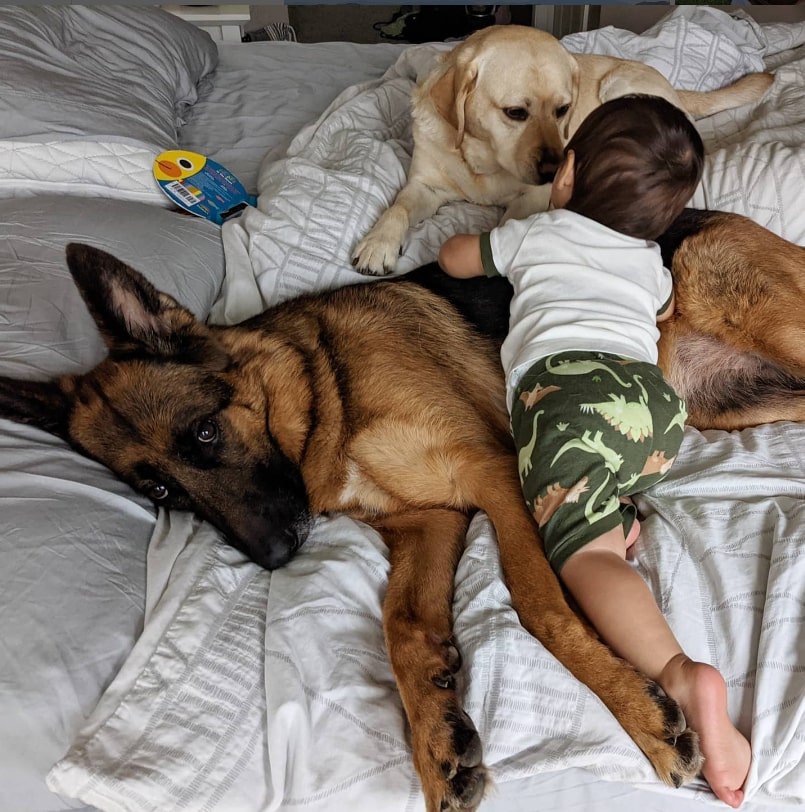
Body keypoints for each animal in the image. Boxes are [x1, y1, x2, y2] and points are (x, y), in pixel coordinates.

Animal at [354, 24, 772, 276]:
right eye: (515, 112)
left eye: (563, 109)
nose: (554, 170)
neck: (483, 162)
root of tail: (672, 87)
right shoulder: (426, 185)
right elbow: (398, 207)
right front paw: (378, 244)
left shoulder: (533, 197)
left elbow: (507, 223)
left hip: (620, 89)